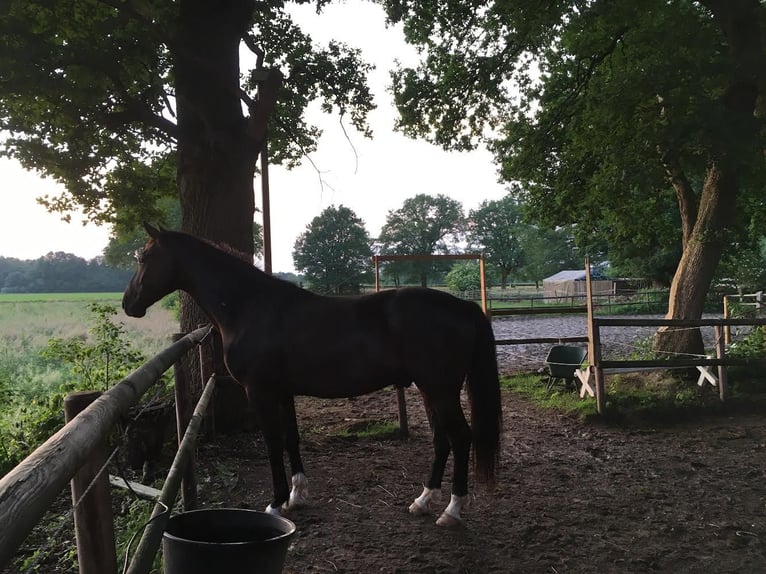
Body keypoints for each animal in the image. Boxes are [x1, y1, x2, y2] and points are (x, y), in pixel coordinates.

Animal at [121, 226, 504, 532]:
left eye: (144, 257)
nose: (128, 304)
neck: (250, 307)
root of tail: (464, 306)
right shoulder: (283, 391)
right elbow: (291, 439)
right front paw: (297, 495)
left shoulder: (260, 391)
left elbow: (272, 443)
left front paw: (276, 503)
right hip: (431, 390)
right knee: (443, 441)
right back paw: (423, 501)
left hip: (441, 390)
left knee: (461, 437)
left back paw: (452, 510)